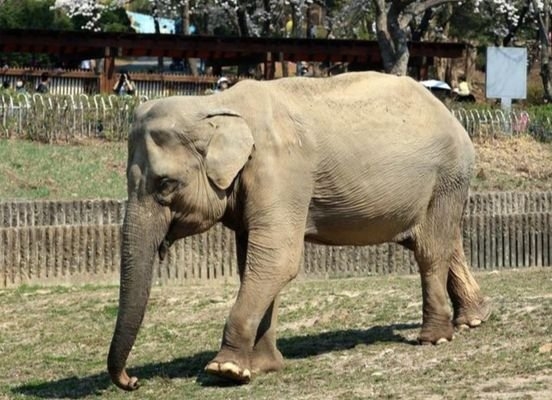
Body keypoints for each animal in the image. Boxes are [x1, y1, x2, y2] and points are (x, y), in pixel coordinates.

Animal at [108, 70, 492, 390]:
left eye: (166, 184)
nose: (133, 381)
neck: (215, 106)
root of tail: (452, 117)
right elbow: (254, 263)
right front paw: (262, 367)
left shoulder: (280, 170)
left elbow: (278, 259)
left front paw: (226, 370)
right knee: (444, 242)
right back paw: (472, 320)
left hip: (447, 175)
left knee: (430, 250)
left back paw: (435, 338)